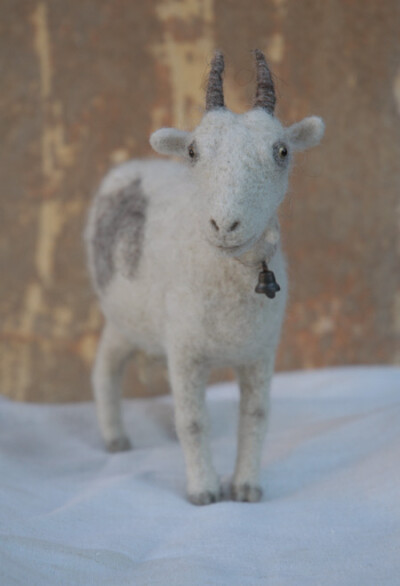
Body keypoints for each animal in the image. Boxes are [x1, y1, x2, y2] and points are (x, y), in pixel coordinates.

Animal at [85, 50, 324, 502]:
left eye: (282, 150)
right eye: (193, 151)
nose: (225, 225)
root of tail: (130, 167)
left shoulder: (259, 351)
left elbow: (256, 414)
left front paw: (246, 488)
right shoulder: (186, 350)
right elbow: (194, 422)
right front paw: (205, 491)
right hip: (123, 317)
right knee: (106, 366)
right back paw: (115, 440)